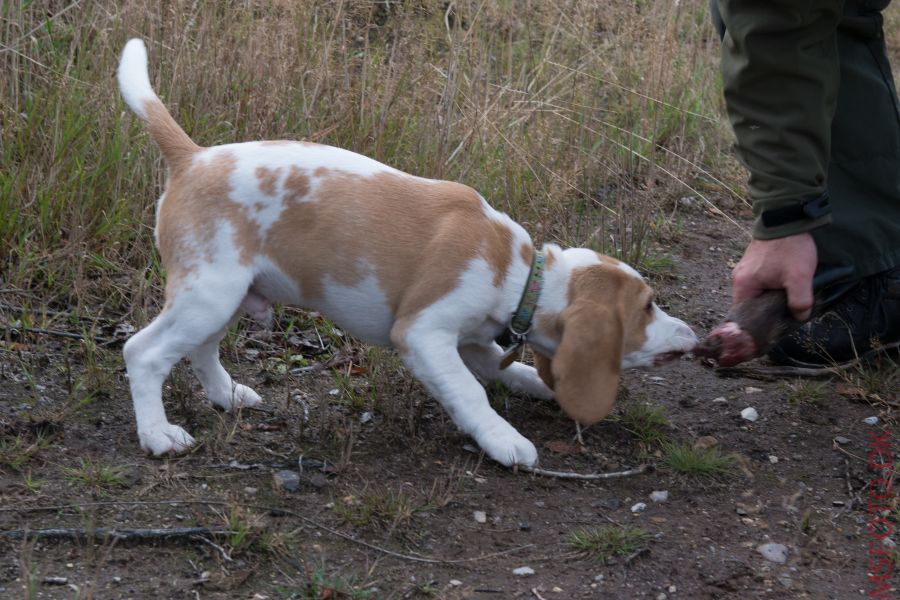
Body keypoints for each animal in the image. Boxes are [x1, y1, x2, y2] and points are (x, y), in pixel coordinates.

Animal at [118, 38, 696, 468]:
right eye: (648, 307)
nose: (692, 334)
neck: (520, 272)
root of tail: (193, 157)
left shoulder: (471, 340)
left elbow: (501, 368)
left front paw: (538, 384)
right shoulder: (424, 335)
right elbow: (470, 392)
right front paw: (504, 439)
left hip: (227, 294)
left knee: (200, 348)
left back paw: (227, 395)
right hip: (210, 293)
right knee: (143, 352)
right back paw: (158, 435)